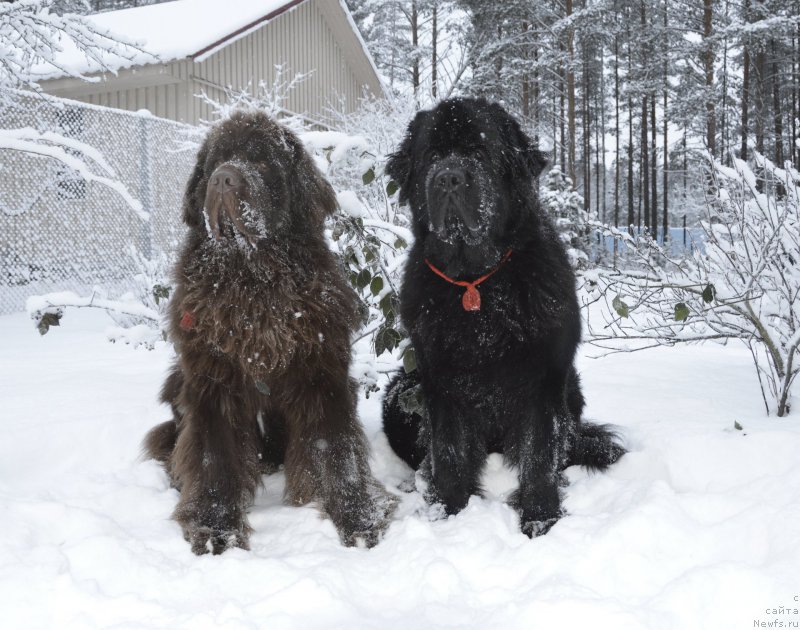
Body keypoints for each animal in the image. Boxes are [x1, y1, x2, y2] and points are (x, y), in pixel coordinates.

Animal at [382, 99, 624, 540]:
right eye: (432, 156)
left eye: (479, 153)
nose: (448, 178)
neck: (476, 283)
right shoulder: (440, 379)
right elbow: (449, 451)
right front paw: (447, 514)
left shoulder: (544, 376)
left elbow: (540, 454)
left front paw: (540, 518)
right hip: (401, 389)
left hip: (571, 388)